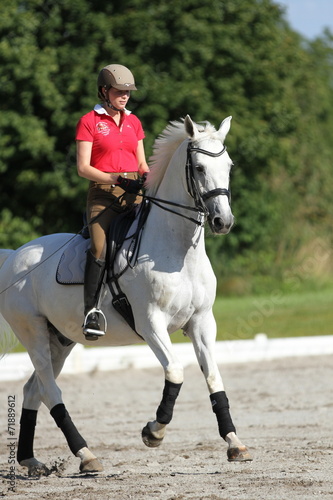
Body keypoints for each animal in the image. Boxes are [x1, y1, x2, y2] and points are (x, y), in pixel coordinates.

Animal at [0, 115, 249, 474]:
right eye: (200, 168)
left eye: (228, 166)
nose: (222, 221)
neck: (178, 252)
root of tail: (14, 257)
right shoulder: (151, 324)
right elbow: (175, 372)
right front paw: (153, 432)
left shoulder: (202, 322)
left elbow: (214, 379)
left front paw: (234, 443)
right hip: (31, 331)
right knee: (50, 390)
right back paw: (86, 455)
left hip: (59, 338)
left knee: (34, 389)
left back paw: (31, 460)